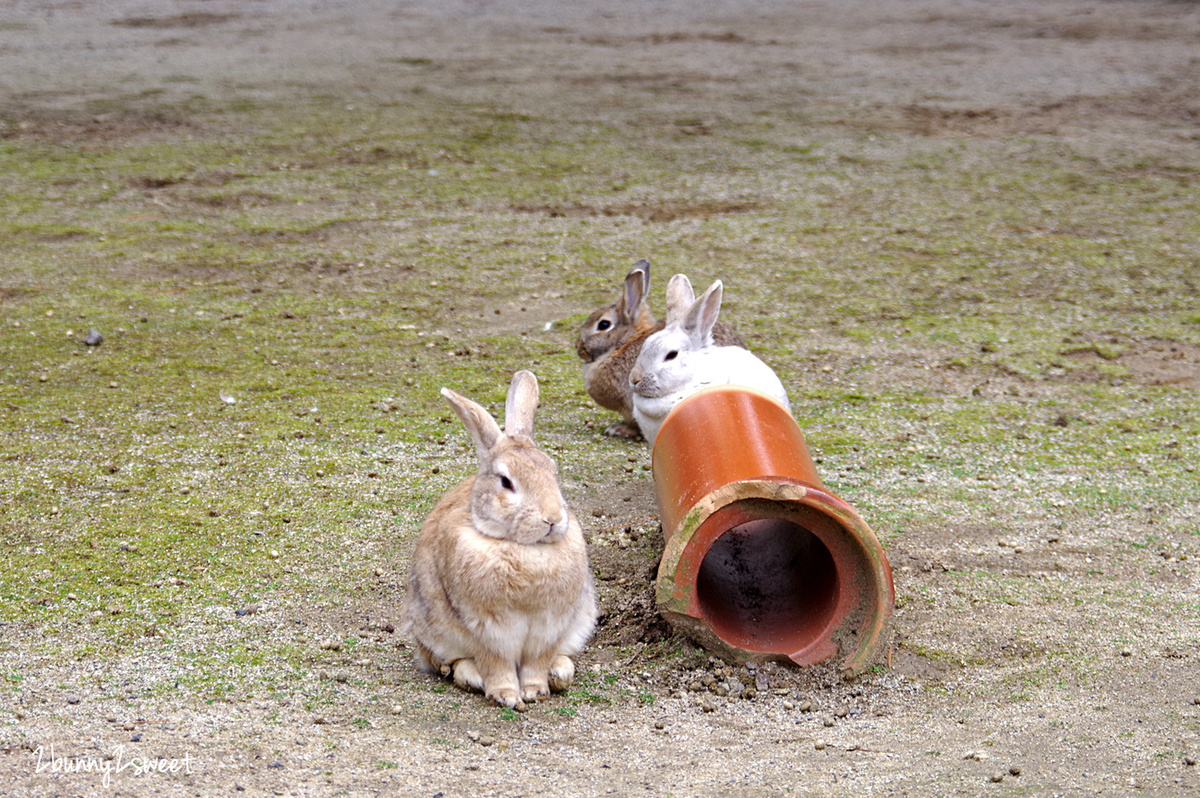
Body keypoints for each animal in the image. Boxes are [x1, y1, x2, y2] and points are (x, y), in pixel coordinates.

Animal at [403, 369, 595, 710]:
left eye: (553, 471)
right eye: (506, 482)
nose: (552, 518)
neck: (522, 548)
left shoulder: (548, 629)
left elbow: (537, 662)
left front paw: (534, 691)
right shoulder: (486, 631)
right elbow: (495, 664)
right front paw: (505, 695)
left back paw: (560, 673)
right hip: (432, 631)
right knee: (447, 663)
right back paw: (471, 677)